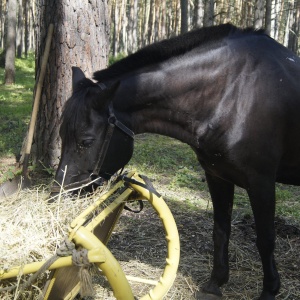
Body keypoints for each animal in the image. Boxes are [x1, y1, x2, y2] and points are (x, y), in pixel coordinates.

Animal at [54, 24, 300, 298]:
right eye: (62, 135)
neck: (234, 93)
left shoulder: (261, 183)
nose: (61, 193)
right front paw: (216, 282)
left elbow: (266, 239)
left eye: (85, 141)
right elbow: (221, 230)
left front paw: (270, 289)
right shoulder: (218, 176)